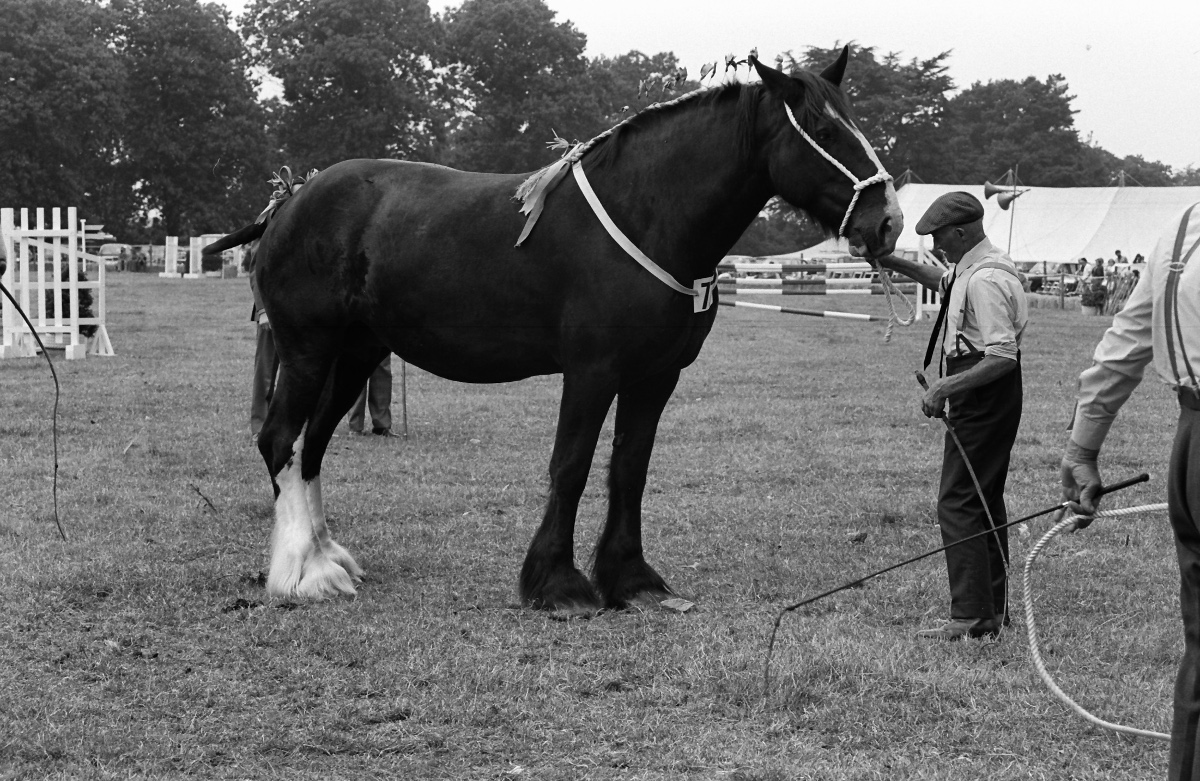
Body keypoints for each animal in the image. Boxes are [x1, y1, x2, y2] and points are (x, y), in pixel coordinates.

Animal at [210, 49, 902, 614]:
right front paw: (558, 584)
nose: (888, 220)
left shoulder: (655, 376)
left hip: (354, 354)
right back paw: (301, 575)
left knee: (312, 446)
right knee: (281, 440)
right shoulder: (592, 371)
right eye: (821, 129)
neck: (646, 212)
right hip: (307, 350)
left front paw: (632, 581)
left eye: (852, 120)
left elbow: (630, 467)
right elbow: (570, 465)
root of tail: (290, 201)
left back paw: (327, 558)